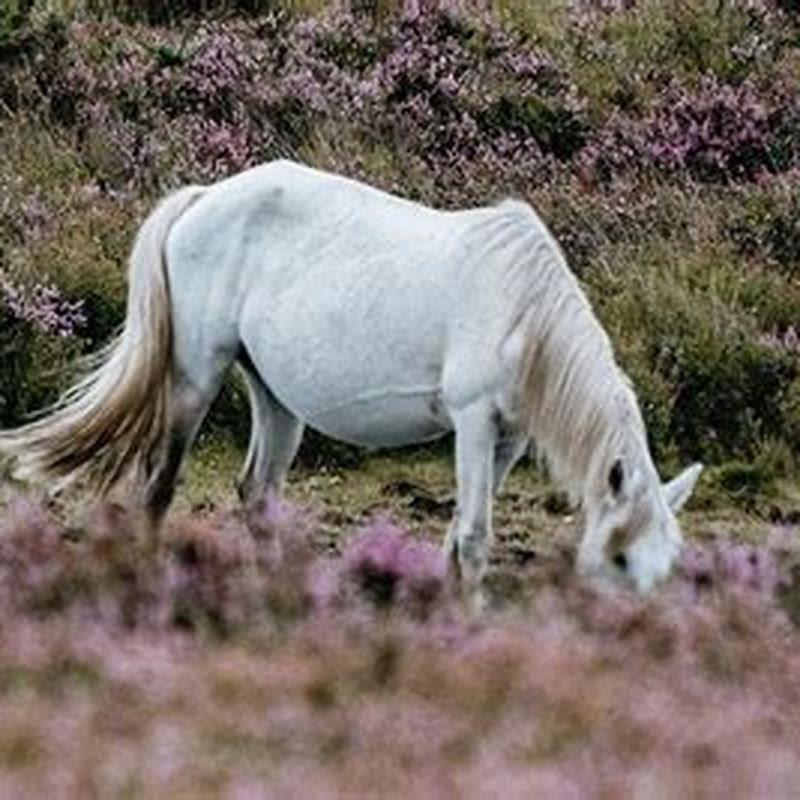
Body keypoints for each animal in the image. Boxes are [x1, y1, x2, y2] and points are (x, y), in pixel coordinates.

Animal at [0, 161, 700, 600]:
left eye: (665, 565)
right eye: (619, 556)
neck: (521, 309)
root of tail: (201, 198)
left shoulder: (506, 439)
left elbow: (458, 531)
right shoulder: (473, 420)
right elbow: (475, 536)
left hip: (276, 398)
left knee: (257, 493)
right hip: (195, 374)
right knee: (159, 488)